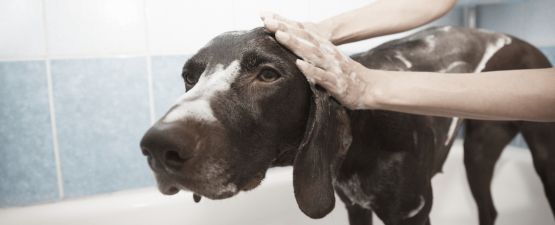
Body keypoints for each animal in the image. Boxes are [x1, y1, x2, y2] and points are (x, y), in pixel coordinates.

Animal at [140, 26, 555, 225]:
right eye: (189, 77)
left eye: (268, 74)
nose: (157, 146)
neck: (365, 135)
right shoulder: (355, 207)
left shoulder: (412, 215)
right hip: (478, 155)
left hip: (534, 158)